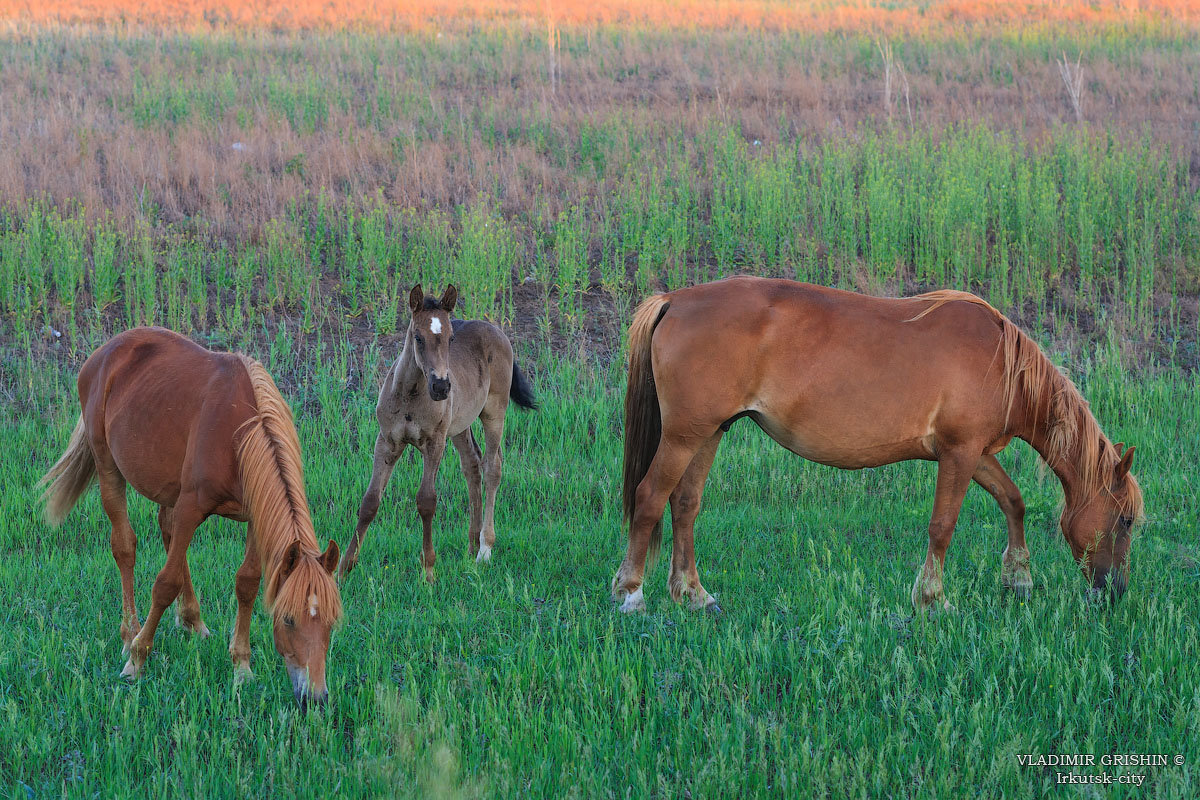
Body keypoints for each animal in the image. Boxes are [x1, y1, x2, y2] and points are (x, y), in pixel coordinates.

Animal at [39, 328, 340, 705]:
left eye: (330, 623)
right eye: (287, 620)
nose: (315, 697)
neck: (241, 433)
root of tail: (104, 352)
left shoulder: (256, 517)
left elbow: (247, 583)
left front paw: (242, 666)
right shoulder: (190, 508)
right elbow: (164, 583)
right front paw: (137, 660)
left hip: (168, 486)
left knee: (167, 534)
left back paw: (192, 620)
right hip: (109, 467)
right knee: (125, 547)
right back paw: (129, 633)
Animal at [336, 286, 537, 582]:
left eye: (451, 338)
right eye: (418, 337)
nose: (441, 387)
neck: (410, 394)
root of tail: (496, 330)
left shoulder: (434, 443)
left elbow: (426, 500)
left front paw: (428, 570)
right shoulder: (387, 441)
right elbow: (370, 500)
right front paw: (343, 568)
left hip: (494, 412)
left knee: (492, 467)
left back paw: (484, 549)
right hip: (460, 424)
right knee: (472, 464)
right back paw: (470, 544)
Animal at [614, 277, 1147, 614]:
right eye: (1124, 520)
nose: (1116, 592)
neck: (1000, 362)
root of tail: (674, 300)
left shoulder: (975, 454)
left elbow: (1013, 502)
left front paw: (1018, 579)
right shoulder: (959, 454)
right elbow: (942, 526)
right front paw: (933, 600)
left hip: (708, 433)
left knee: (685, 505)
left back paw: (694, 595)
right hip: (683, 437)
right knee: (649, 498)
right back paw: (631, 595)